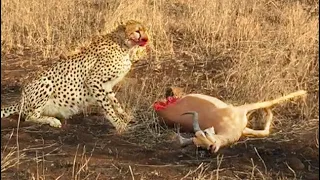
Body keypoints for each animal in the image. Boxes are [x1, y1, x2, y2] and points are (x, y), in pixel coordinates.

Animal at [0, 19, 150, 134]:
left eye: (145, 30)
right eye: (137, 31)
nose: (146, 39)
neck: (123, 44)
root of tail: (20, 100)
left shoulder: (106, 85)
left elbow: (115, 102)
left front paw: (126, 117)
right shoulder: (94, 81)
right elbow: (107, 106)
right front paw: (118, 123)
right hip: (46, 82)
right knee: (29, 116)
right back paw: (53, 120)